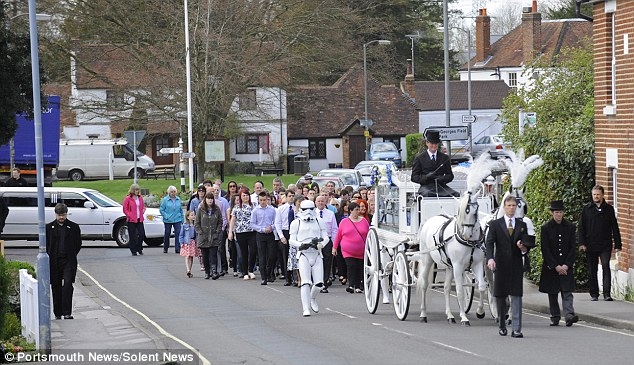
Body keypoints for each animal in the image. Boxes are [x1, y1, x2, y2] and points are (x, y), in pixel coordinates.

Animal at [412, 191, 486, 324]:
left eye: (475, 211)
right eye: (461, 211)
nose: (466, 234)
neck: (470, 242)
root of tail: (430, 220)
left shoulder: (477, 264)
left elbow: (482, 287)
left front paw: (480, 312)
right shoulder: (458, 266)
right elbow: (460, 291)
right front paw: (464, 317)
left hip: (449, 266)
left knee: (446, 288)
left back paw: (450, 315)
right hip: (427, 260)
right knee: (424, 285)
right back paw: (423, 314)